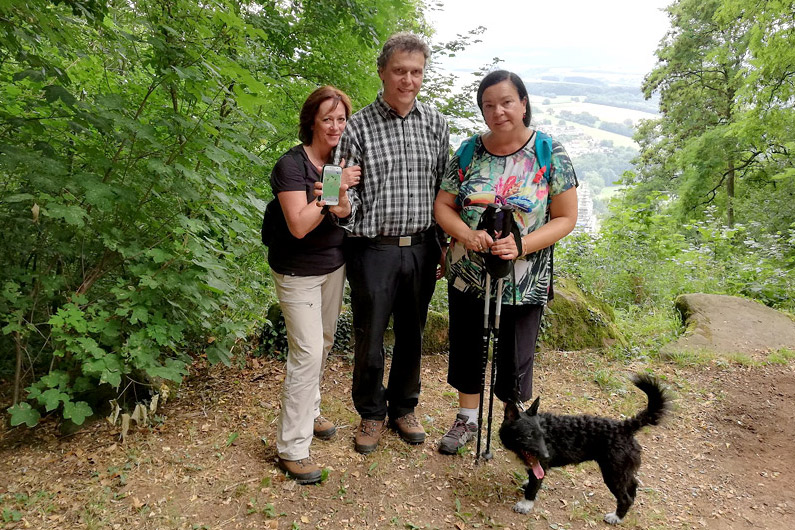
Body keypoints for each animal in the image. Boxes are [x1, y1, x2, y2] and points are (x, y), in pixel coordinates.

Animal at [500, 374, 668, 520]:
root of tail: (624, 426)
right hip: (622, 471)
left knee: (625, 498)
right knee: (633, 485)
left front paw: (525, 505)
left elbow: (533, 487)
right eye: (528, 436)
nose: (547, 455)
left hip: (612, 473)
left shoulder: (541, 466)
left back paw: (616, 517)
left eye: (542, 435)